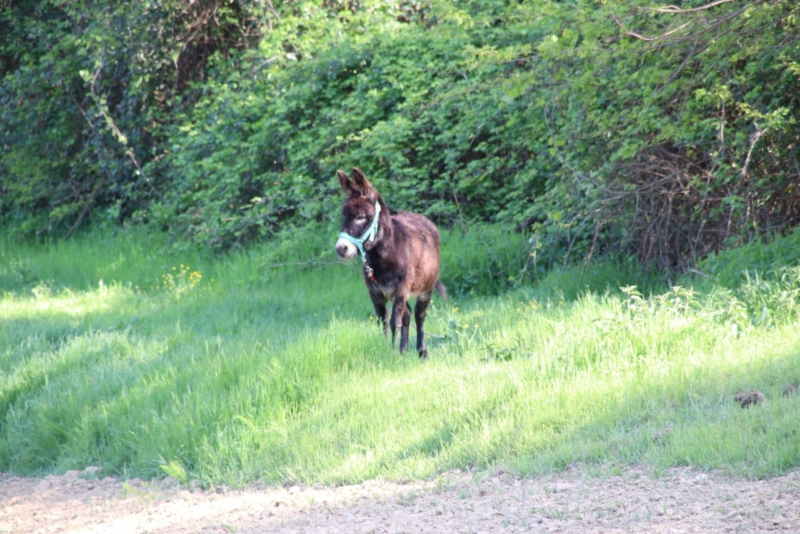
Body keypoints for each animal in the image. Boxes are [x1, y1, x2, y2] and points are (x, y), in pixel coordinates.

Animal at [335, 168, 446, 357]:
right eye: (344, 216)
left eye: (361, 217)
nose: (341, 248)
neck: (384, 257)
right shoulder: (376, 293)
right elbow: (383, 321)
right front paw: (387, 349)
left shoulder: (400, 290)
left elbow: (395, 321)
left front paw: (391, 354)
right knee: (407, 315)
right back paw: (404, 350)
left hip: (426, 288)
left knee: (419, 316)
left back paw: (421, 351)